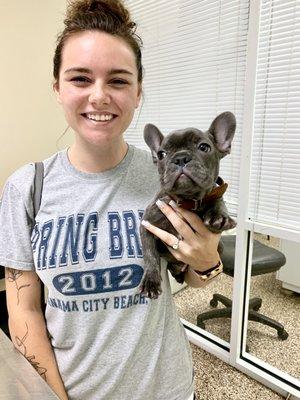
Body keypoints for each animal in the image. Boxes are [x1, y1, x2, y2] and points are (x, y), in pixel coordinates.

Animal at [140, 111, 237, 298]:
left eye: (204, 147)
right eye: (162, 154)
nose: (180, 158)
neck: (186, 200)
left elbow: (216, 198)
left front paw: (219, 217)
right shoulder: (147, 225)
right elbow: (150, 255)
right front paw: (151, 281)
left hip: (220, 248)